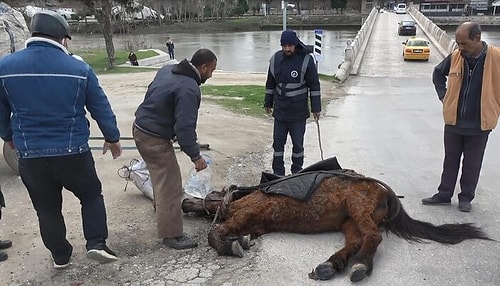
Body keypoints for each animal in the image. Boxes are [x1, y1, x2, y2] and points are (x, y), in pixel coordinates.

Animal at [181, 159, 492, 282]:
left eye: (210, 193)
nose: (185, 203)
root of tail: (386, 191)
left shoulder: (247, 214)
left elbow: (215, 234)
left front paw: (231, 245)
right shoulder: (254, 223)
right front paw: (242, 241)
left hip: (357, 207)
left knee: (372, 237)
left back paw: (359, 266)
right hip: (348, 220)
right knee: (356, 240)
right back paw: (331, 265)